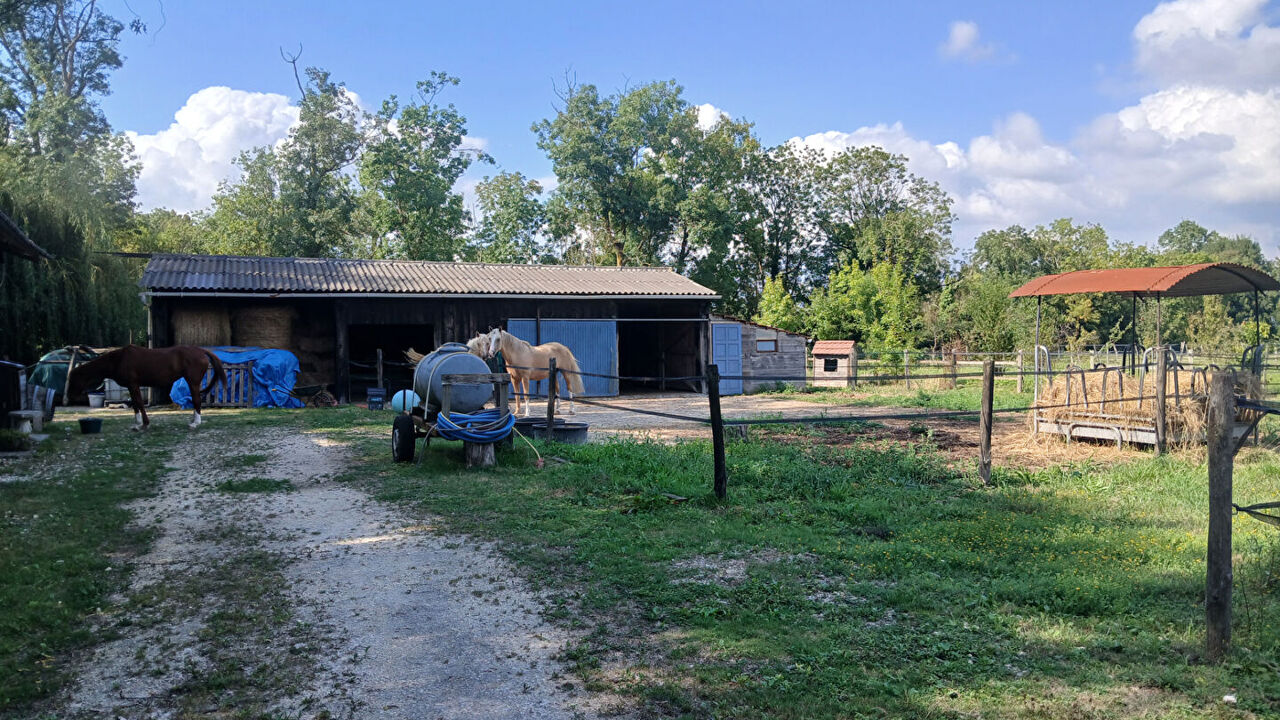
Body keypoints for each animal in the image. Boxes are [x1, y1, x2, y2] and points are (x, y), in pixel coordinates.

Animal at [68, 345, 227, 427]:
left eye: (73, 379)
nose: (70, 396)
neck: (119, 360)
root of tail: (201, 351)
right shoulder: (130, 386)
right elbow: (134, 404)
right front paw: (138, 423)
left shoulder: (133, 384)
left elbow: (139, 402)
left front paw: (144, 423)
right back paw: (194, 420)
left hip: (193, 381)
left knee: (196, 400)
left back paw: (196, 423)